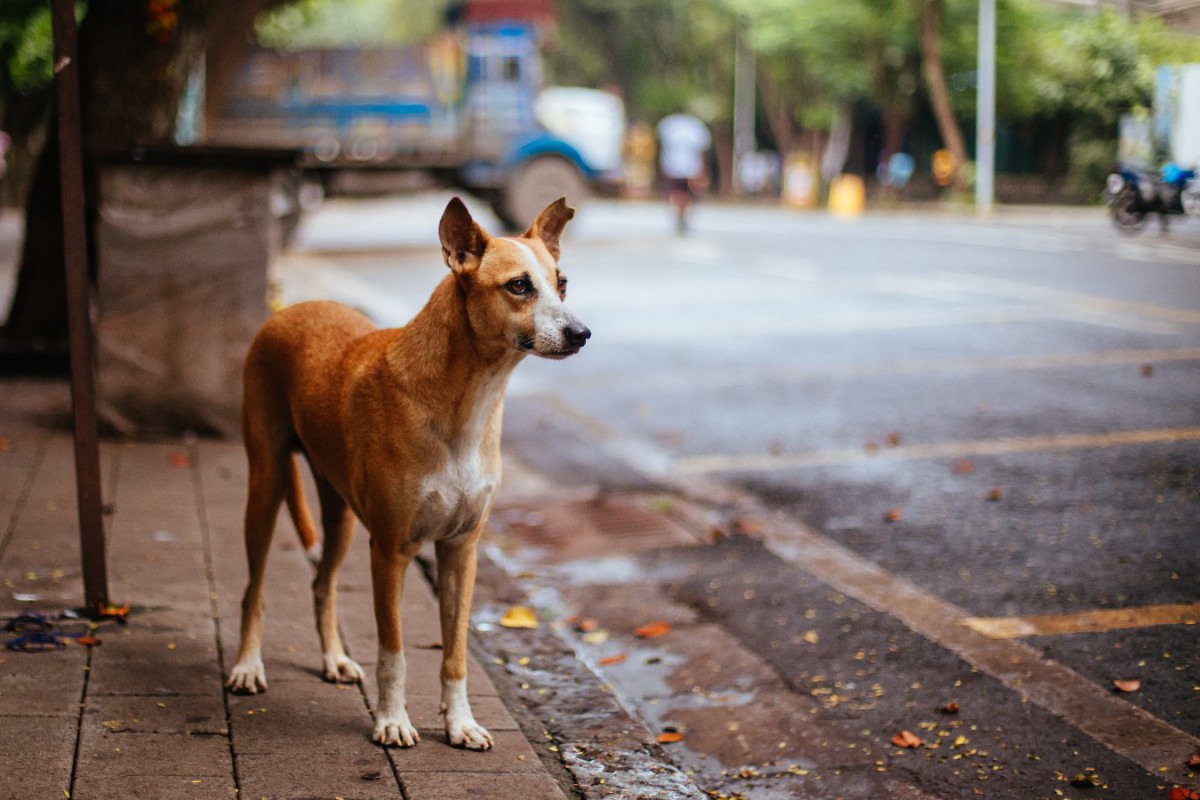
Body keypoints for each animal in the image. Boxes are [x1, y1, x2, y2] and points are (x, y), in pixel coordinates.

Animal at [225, 196, 590, 748]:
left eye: (561, 282)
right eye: (519, 286)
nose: (581, 334)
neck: (468, 401)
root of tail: (291, 308)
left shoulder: (461, 550)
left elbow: (455, 653)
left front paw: (460, 723)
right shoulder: (391, 550)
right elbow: (393, 653)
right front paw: (392, 720)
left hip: (340, 516)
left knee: (322, 585)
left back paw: (334, 659)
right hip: (265, 486)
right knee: (254, 591)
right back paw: (248, 667)